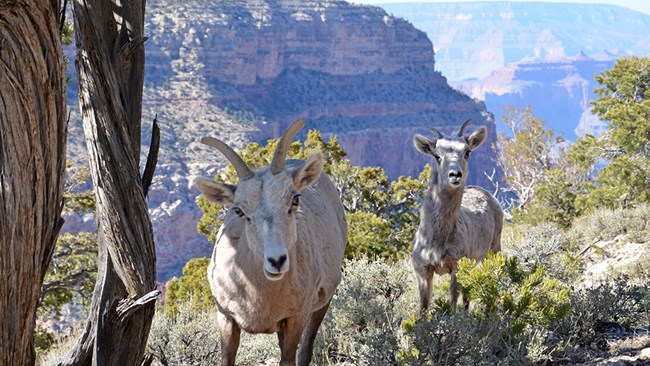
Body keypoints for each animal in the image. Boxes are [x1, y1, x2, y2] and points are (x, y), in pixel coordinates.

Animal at [192, 118, 346, 364]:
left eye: (294, 200)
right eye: (239, 210)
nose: (276, 261)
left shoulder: (295, 318)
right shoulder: (225, 317)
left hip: (323, 301)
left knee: (307, 348)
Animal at [410, 119, 502, 312]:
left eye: (467, 152)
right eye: (437, 156)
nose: (455, 175)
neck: (436, 241)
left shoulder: (456, 265)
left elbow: (452, 302)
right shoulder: (422, 271)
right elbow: (423, 308)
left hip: (493, 250)